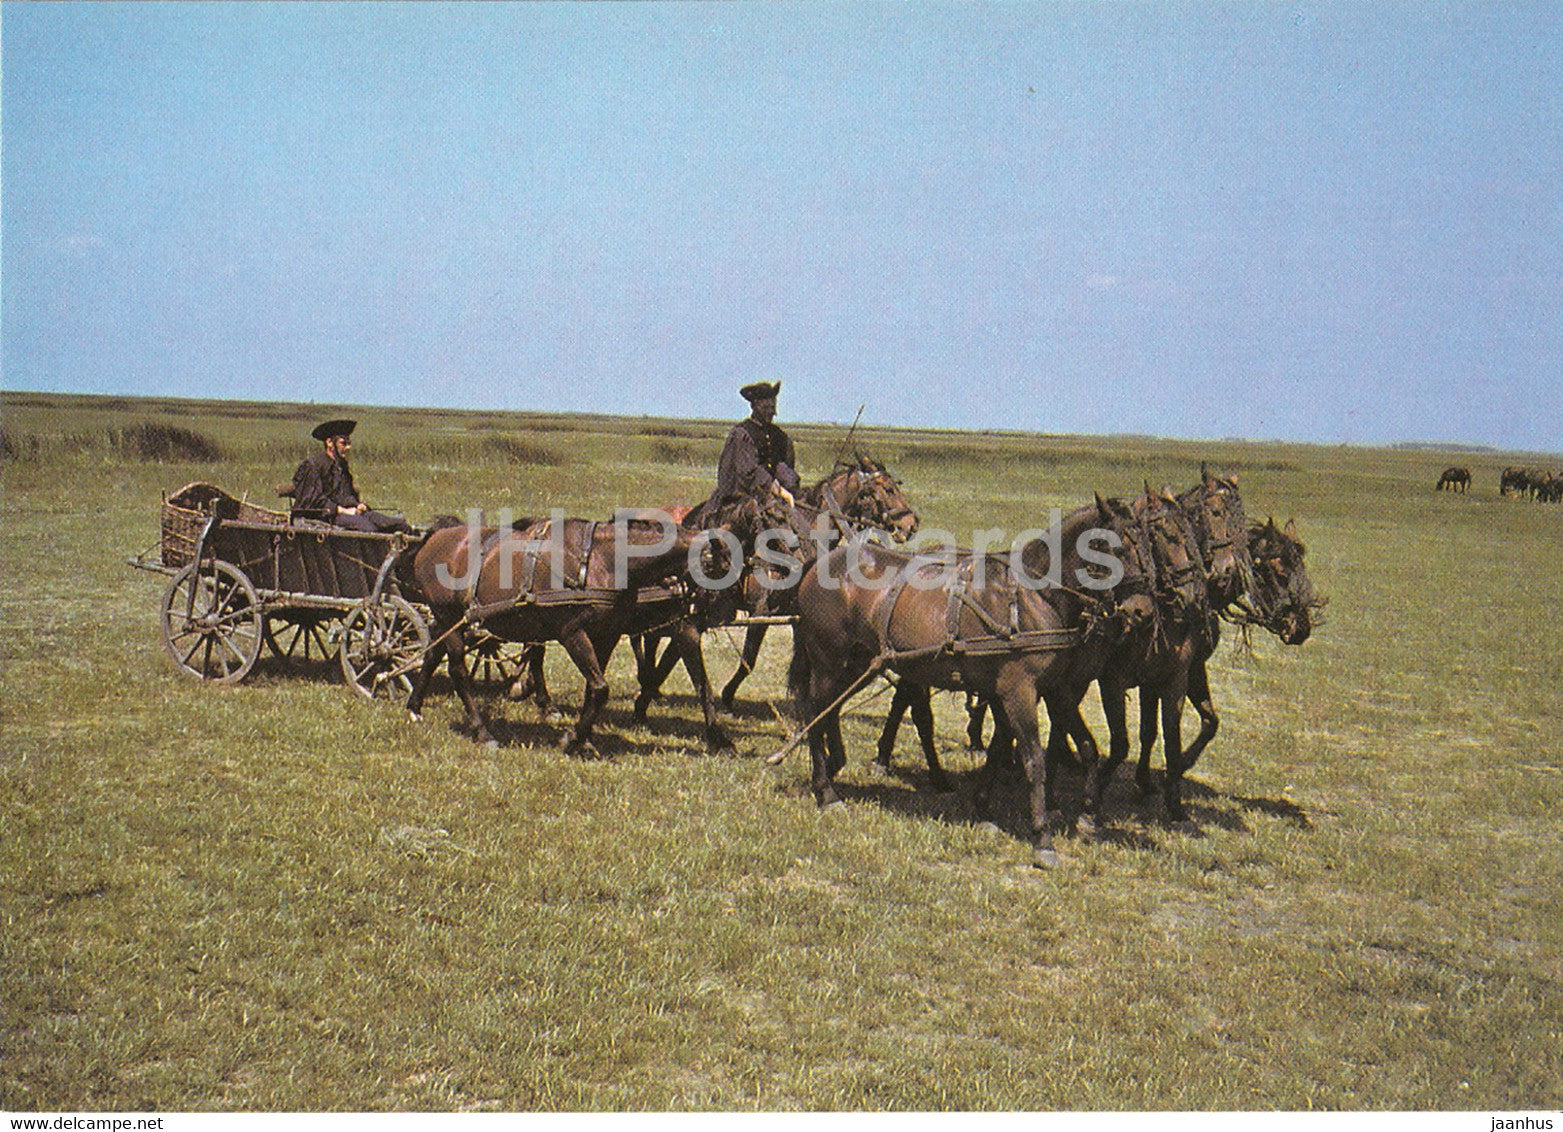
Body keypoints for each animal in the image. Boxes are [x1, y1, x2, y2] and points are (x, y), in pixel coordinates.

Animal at [404, 514, 738, 754]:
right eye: (719, 567)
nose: (716, 613)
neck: (602, 559)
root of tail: (435, 537)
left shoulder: (606, 634)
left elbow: (595, 688)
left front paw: (583, 737)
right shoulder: (571, 632)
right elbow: (601, 688)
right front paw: (571, 738)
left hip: (448, 620)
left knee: (432, 654)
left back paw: (414, 707)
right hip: (449, 615)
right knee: (458, 670)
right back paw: (482, 731)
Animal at [786, 498, 1155, 866]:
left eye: (1147, 547)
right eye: (1115, 548)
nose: (1142, 610)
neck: (1032, 598)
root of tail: (822, 562)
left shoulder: (1052, 690)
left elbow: (1078, 748)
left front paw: (1083, 818)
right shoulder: (1019, 691)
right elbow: (1034, 760)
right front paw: (1043, 839)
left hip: (861, 663)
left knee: (829, 711)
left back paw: (835, 765)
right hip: (829, 661)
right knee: (814, 713)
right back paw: (826, 791)